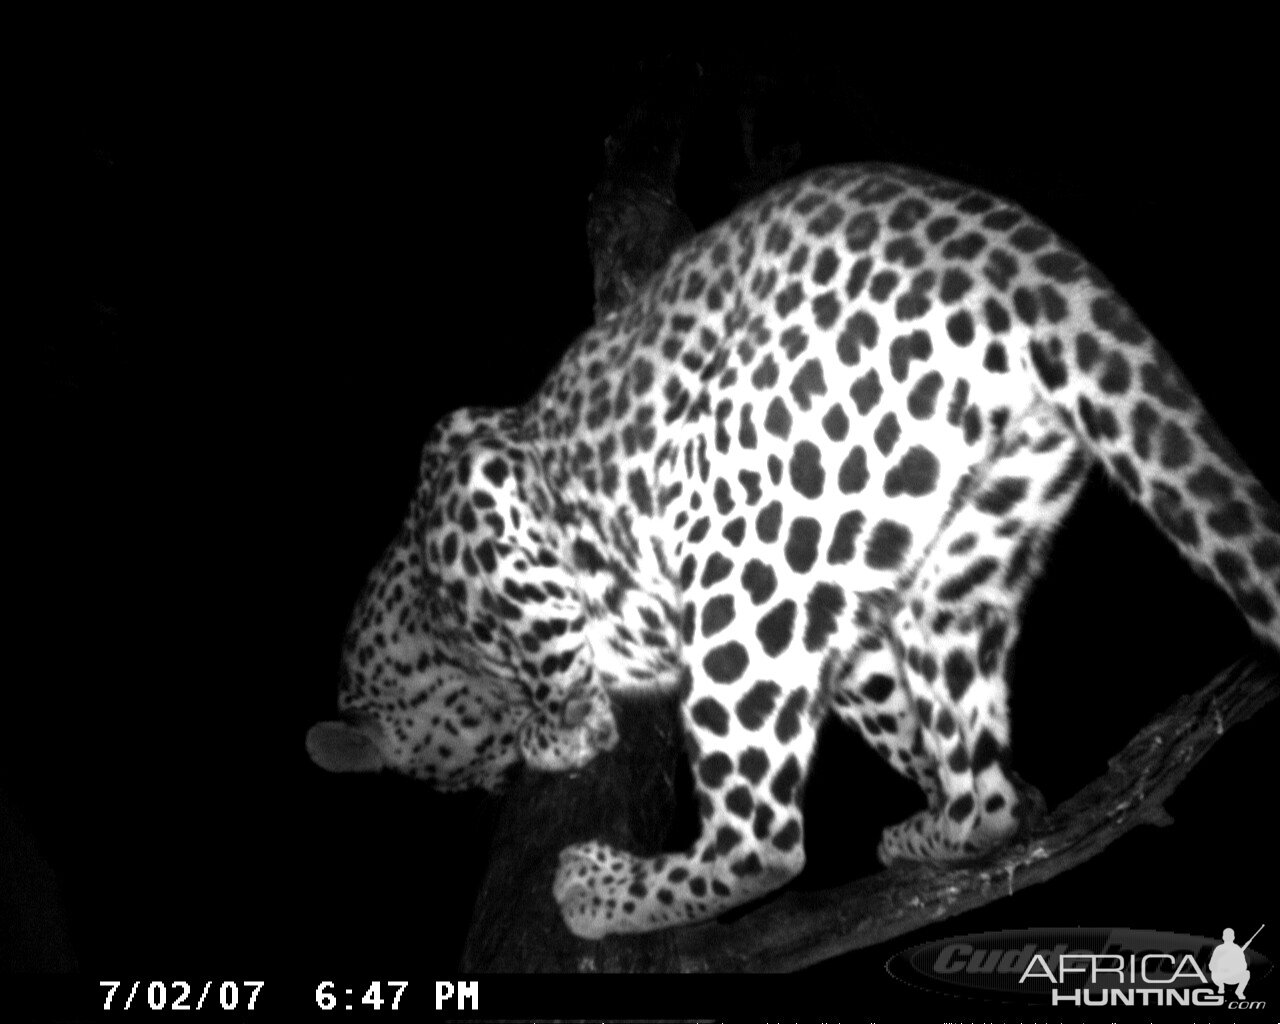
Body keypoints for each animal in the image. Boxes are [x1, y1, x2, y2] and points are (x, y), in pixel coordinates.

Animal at [307, 163, 1280, 942]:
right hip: (952, 559)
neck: (424, 616)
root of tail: (1018, 248)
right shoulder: (846, 617)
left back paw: (599, 889)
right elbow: (890, 711)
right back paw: (940, 830)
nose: (484, 785)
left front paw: (559, 729)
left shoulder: (482, 483)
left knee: (763, 845)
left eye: (446, 777)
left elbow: (552, 650)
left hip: (739, 545)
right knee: (989, 799)